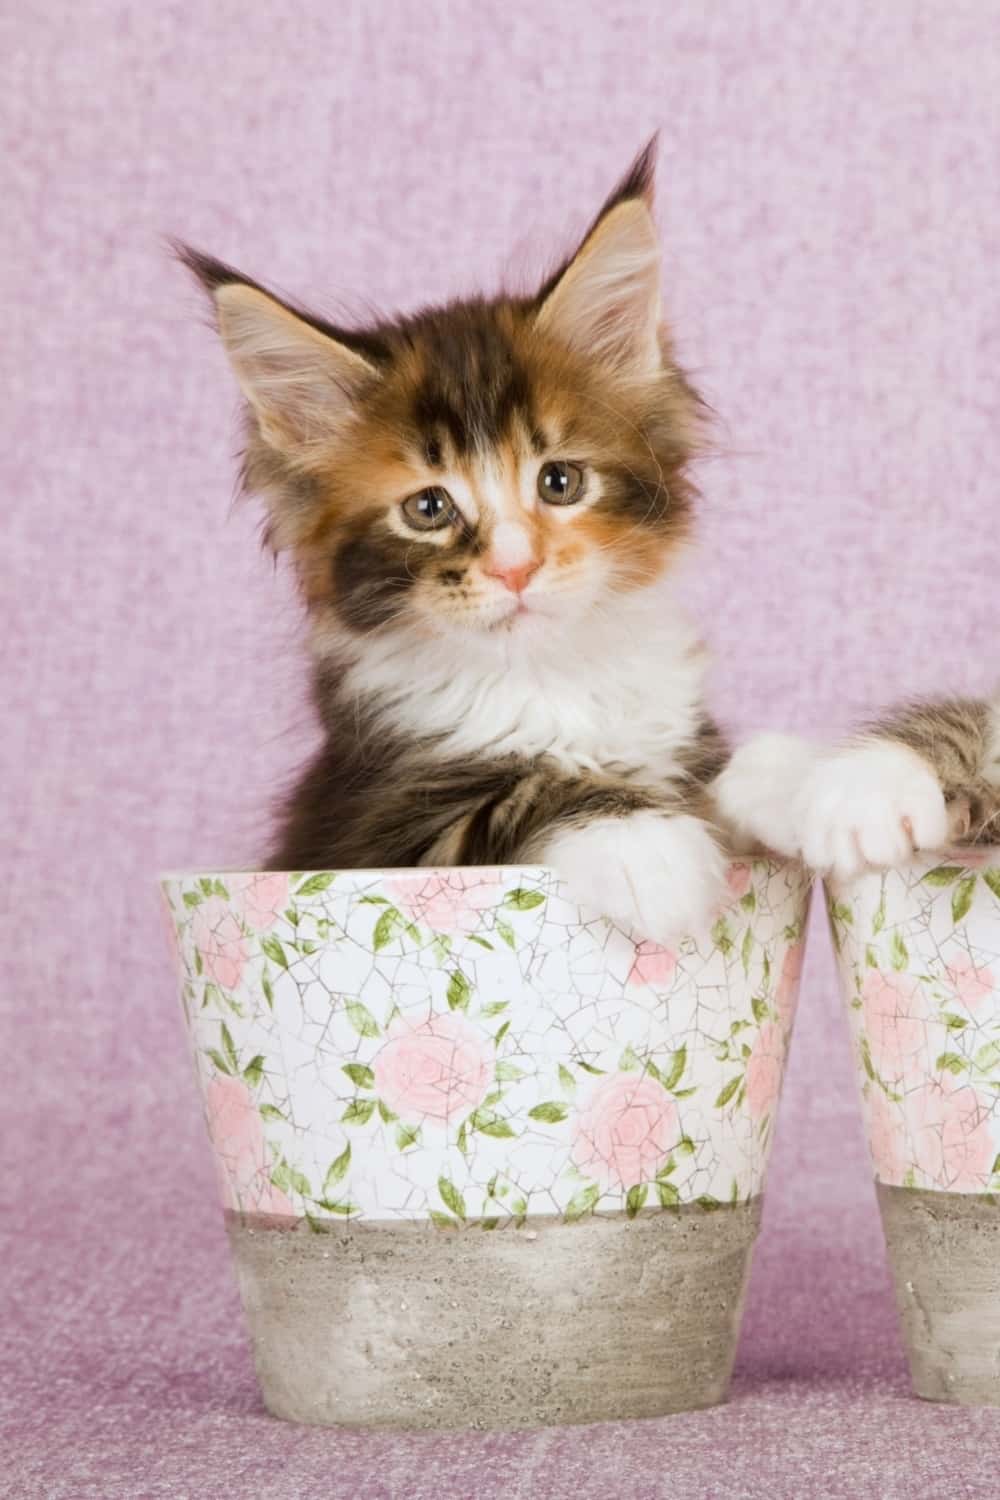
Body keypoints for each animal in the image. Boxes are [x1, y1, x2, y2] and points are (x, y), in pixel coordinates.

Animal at [183, 141, 773, 936]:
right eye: (429, 507)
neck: (549, 675)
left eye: (560, 482)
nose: (514, 568)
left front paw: (827, 784)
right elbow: (528, 781)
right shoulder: (378, 823)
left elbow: (726, 786)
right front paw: (642, 843)